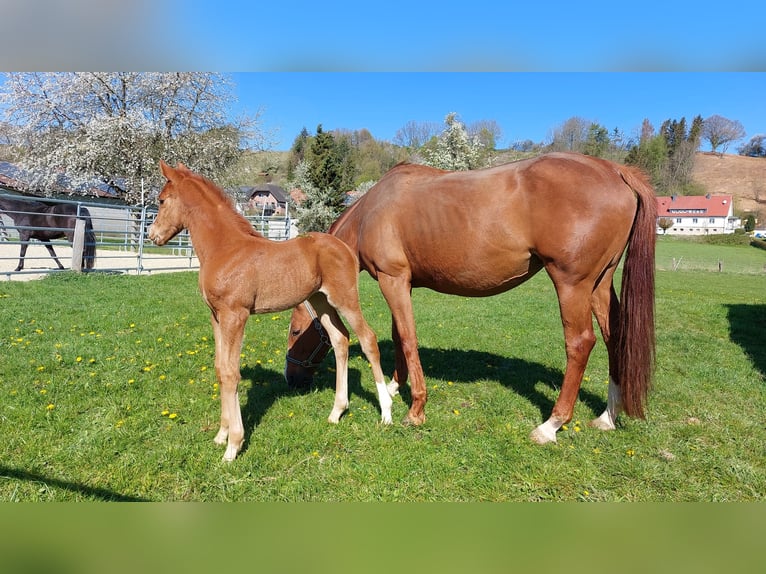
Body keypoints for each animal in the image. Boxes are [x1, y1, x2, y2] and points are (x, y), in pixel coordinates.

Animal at [284, 153, 656, 446]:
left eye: (294, 332)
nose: (292, 380)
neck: (371, 212)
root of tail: (614, 170)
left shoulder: (393, 280)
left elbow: (408, 338)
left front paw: (415, 410)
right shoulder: (401, 284)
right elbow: (398, 336)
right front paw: (393, 387)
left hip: (572, 284)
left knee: (580, 343)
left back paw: (551, 425)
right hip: (599, 285)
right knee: (614, 339)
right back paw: (607, 416)